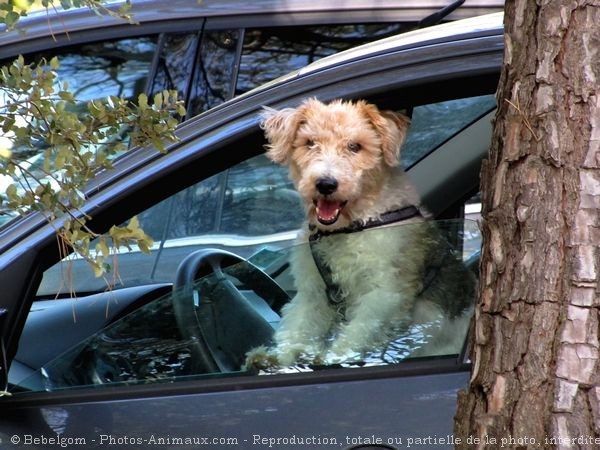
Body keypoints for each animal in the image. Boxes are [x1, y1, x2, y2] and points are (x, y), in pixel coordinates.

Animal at [244, 98, 474, 370]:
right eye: (310, 142)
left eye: (355, 146)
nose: (325, 184)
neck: (349, 226)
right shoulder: (312, 292)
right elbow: (298, 326)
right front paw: (278, 360)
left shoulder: (384, 291)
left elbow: (359, 330)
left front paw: (332, 358)